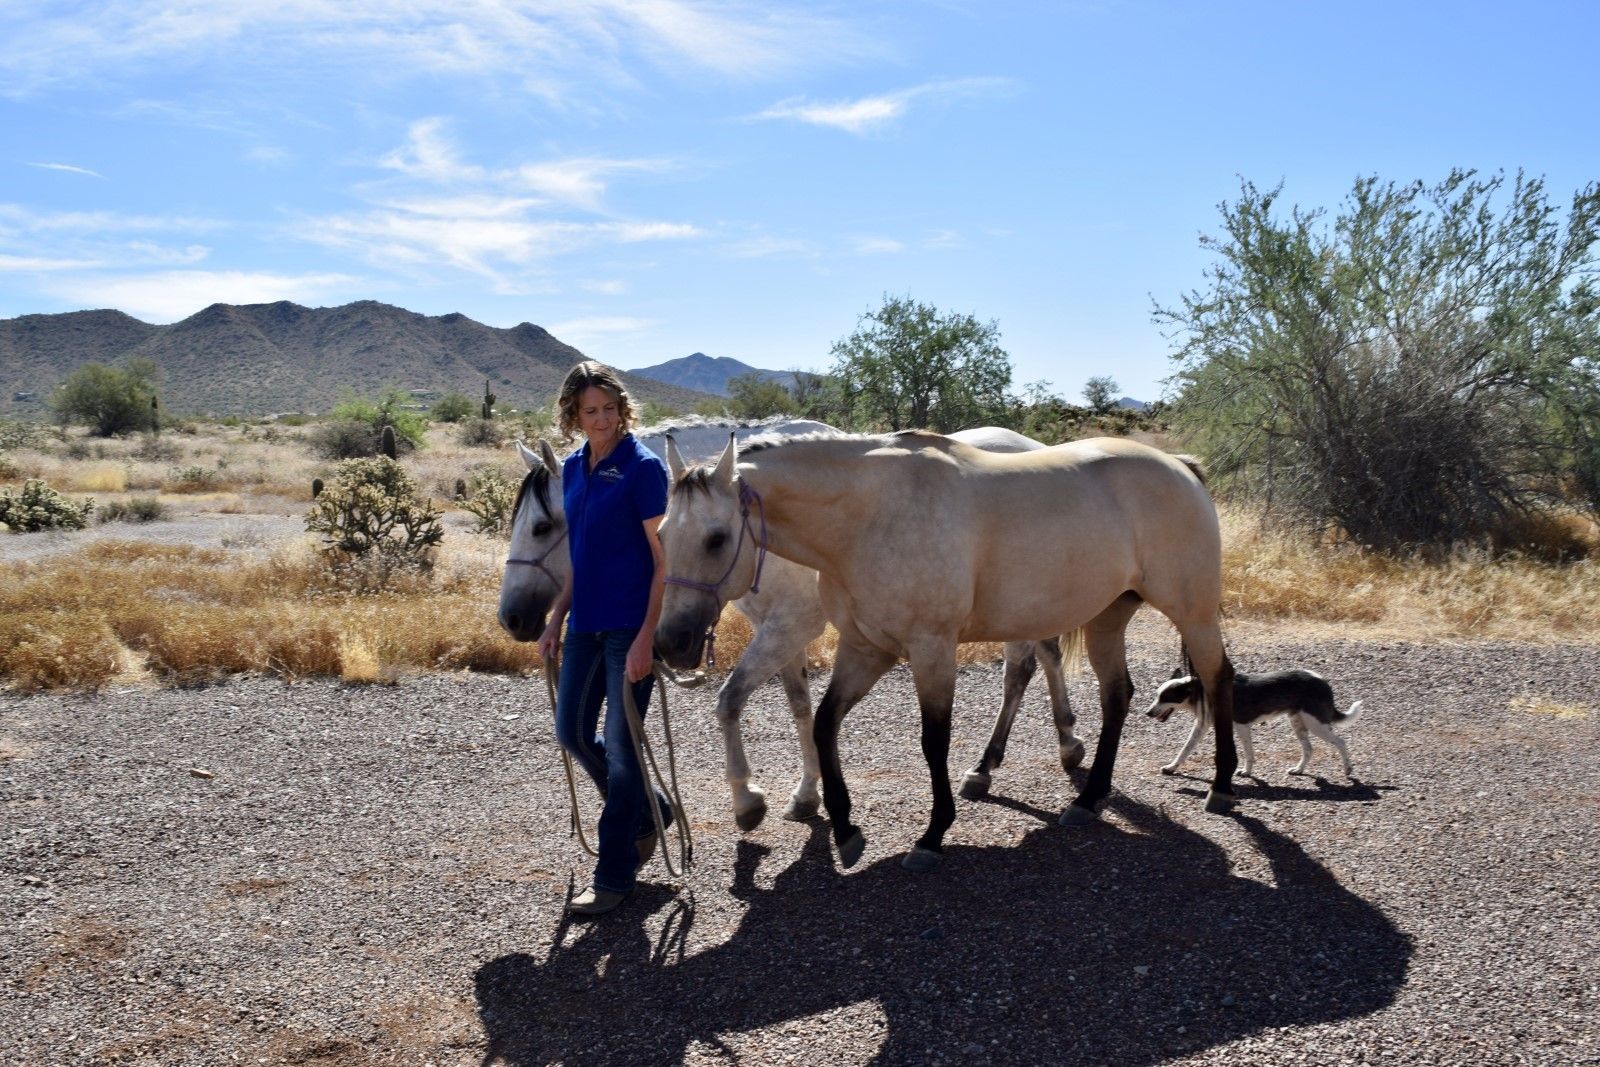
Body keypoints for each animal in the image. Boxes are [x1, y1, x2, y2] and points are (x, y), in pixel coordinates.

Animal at [1152, 671, 1363, 780]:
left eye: (1165, 697)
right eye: (1157, 696)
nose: (1148, 712)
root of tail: (1323, 681)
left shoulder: (1241, 725)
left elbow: (1248, 753)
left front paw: (1246, 772)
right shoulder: (1202, 726)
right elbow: (1185, 749)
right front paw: (1171, 767)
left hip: (1316, 724)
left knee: (1341, 742)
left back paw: (1348, 769)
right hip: (1298, 723)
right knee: (1309, 749)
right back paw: (1299, 770)